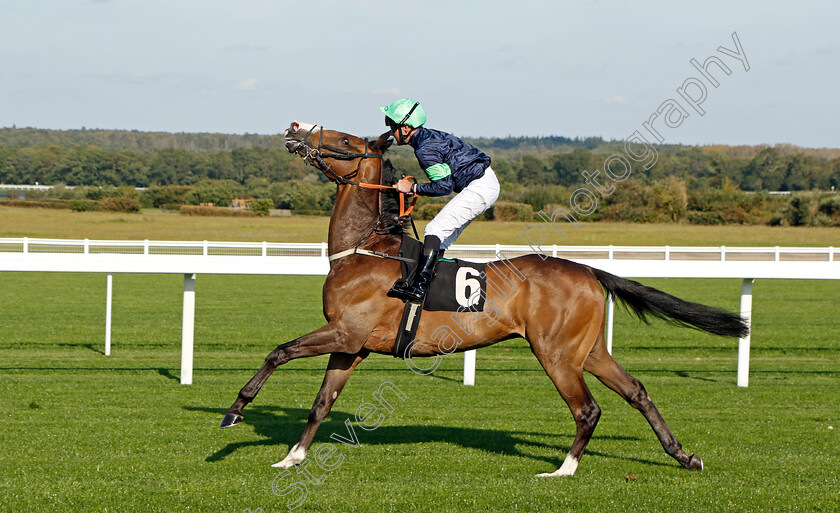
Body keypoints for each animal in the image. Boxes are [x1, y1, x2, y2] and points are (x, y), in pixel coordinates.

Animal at [218, 121, 748, 476]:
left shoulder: (345, 332)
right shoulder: (353, 345)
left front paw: (234, 412)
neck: (365, 249)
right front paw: (291, 458)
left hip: (556, 354)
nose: (294, 128)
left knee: (588, 409)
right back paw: (683, 455)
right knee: (636, 391)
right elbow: (320, 403)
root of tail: (587, 269)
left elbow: (279, 352)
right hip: (589, 350)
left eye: (346, 142)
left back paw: (563, 469)